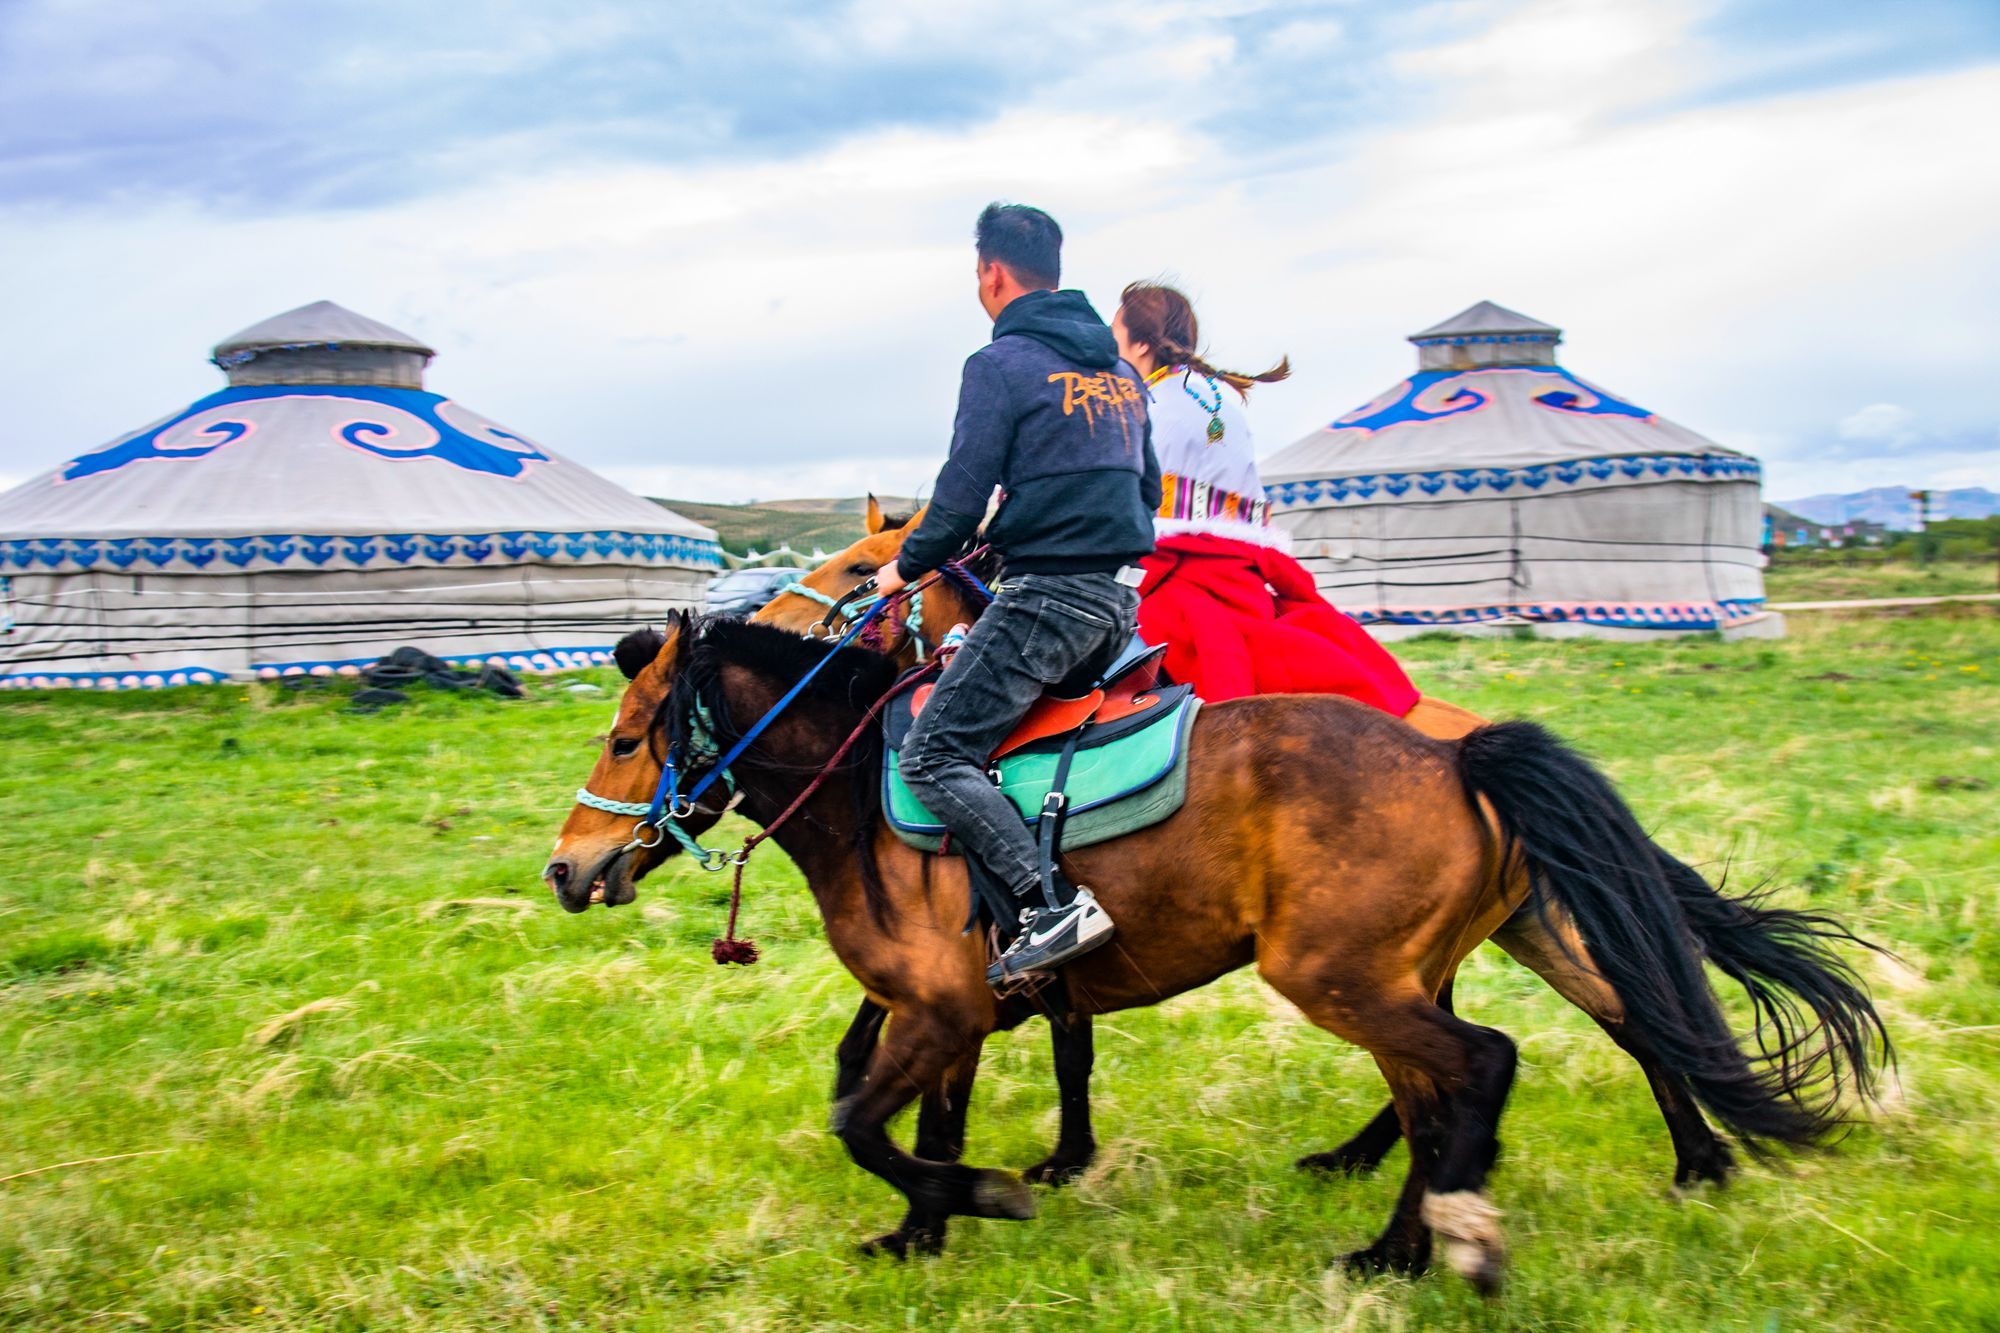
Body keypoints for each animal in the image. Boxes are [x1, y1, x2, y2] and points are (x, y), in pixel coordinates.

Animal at [540, 608, 1880, 1280]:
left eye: (625, 734)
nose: (564, 868)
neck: (868, 793)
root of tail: (1454, 753)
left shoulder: (939, 1009)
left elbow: (866, 1122)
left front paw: (981, 1199)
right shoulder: (951, 1011)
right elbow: (918, 1114)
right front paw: (922, 1235)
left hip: (1344, 974)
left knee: (1486, 1064)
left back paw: (1453, 1232)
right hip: (1420, 961)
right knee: (1498, 1066)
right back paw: (1410, 1239)